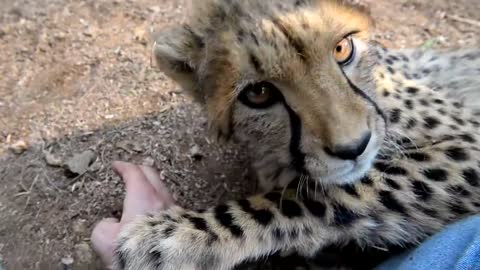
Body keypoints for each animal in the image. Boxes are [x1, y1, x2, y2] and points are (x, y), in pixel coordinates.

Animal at [111, 0, 480, 268]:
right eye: (258, 93)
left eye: (342, 49)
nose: (355, 146)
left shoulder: (469, 144)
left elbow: (320, 194)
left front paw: (180, 235)